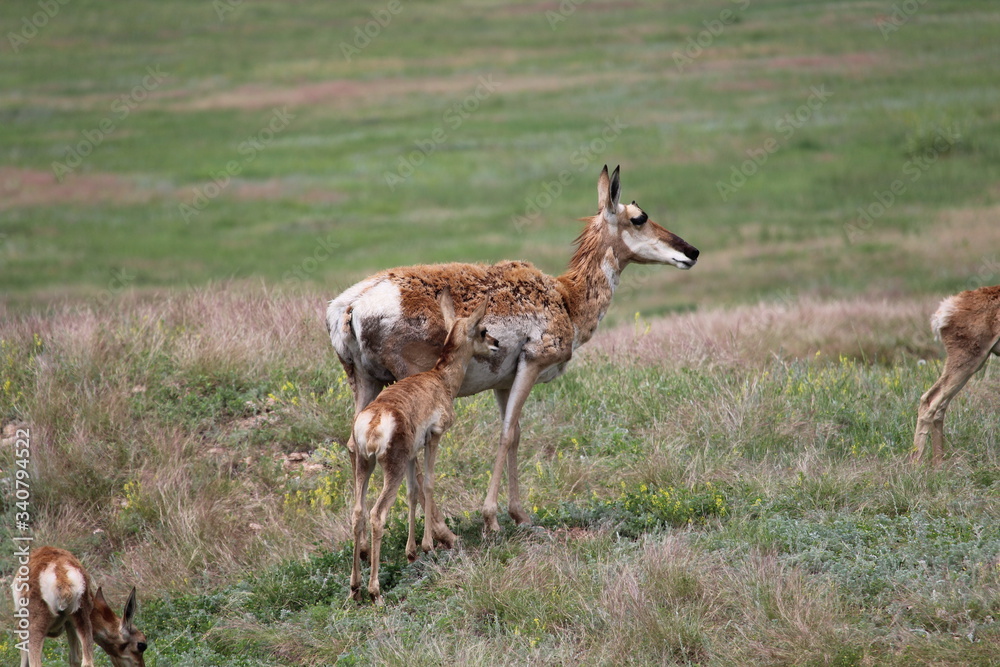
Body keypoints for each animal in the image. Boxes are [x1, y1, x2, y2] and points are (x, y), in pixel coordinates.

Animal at [11, 546, 147, 667]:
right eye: (141, 645)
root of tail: (61, 574)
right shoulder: (70, 623)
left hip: (37, 628)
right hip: (81, 619)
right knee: (85, 662)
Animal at [327, 165, 699, 533]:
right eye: (639, 217)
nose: (692, 252)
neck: (567, 299)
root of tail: (351, 305)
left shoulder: (503, 384)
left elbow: (516, 434)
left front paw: (520, 514)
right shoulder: (532, 364)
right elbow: (506, 435)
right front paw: (492, 517)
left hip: (365, 382)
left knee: (354, 444)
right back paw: (443, 532)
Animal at [348, 292, 499, 603]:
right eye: (482, 329)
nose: (497, 343)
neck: (439, 379)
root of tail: (374, 419)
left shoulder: (412, 454)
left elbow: (413, 493)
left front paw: (412, 552)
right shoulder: (434, 437)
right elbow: (428, 483)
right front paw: (429, 545)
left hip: (365, 465)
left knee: (358, 513)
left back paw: (355, 587)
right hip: (389, 469)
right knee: (377, 515)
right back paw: (375, 590)